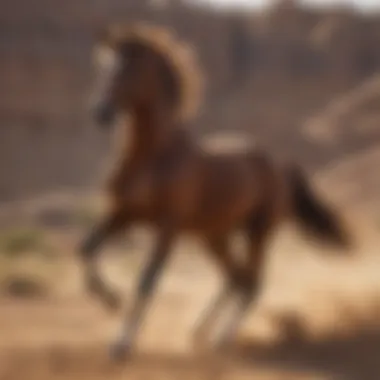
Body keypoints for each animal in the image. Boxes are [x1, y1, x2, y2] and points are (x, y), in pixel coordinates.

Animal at [78, 22, 352, 360]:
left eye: (129, 69)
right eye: (103, 68)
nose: (100, 112)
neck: (153, 156)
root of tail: (279, 168)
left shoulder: (167, 226)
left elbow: (147, 279)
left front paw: (121, 343)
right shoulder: (122, 214)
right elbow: (86, 249)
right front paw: (111, 299)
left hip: (258, 232)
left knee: (250, 283)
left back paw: (223, 336)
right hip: (214, 236)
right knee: (234, 278)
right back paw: (198, 331)